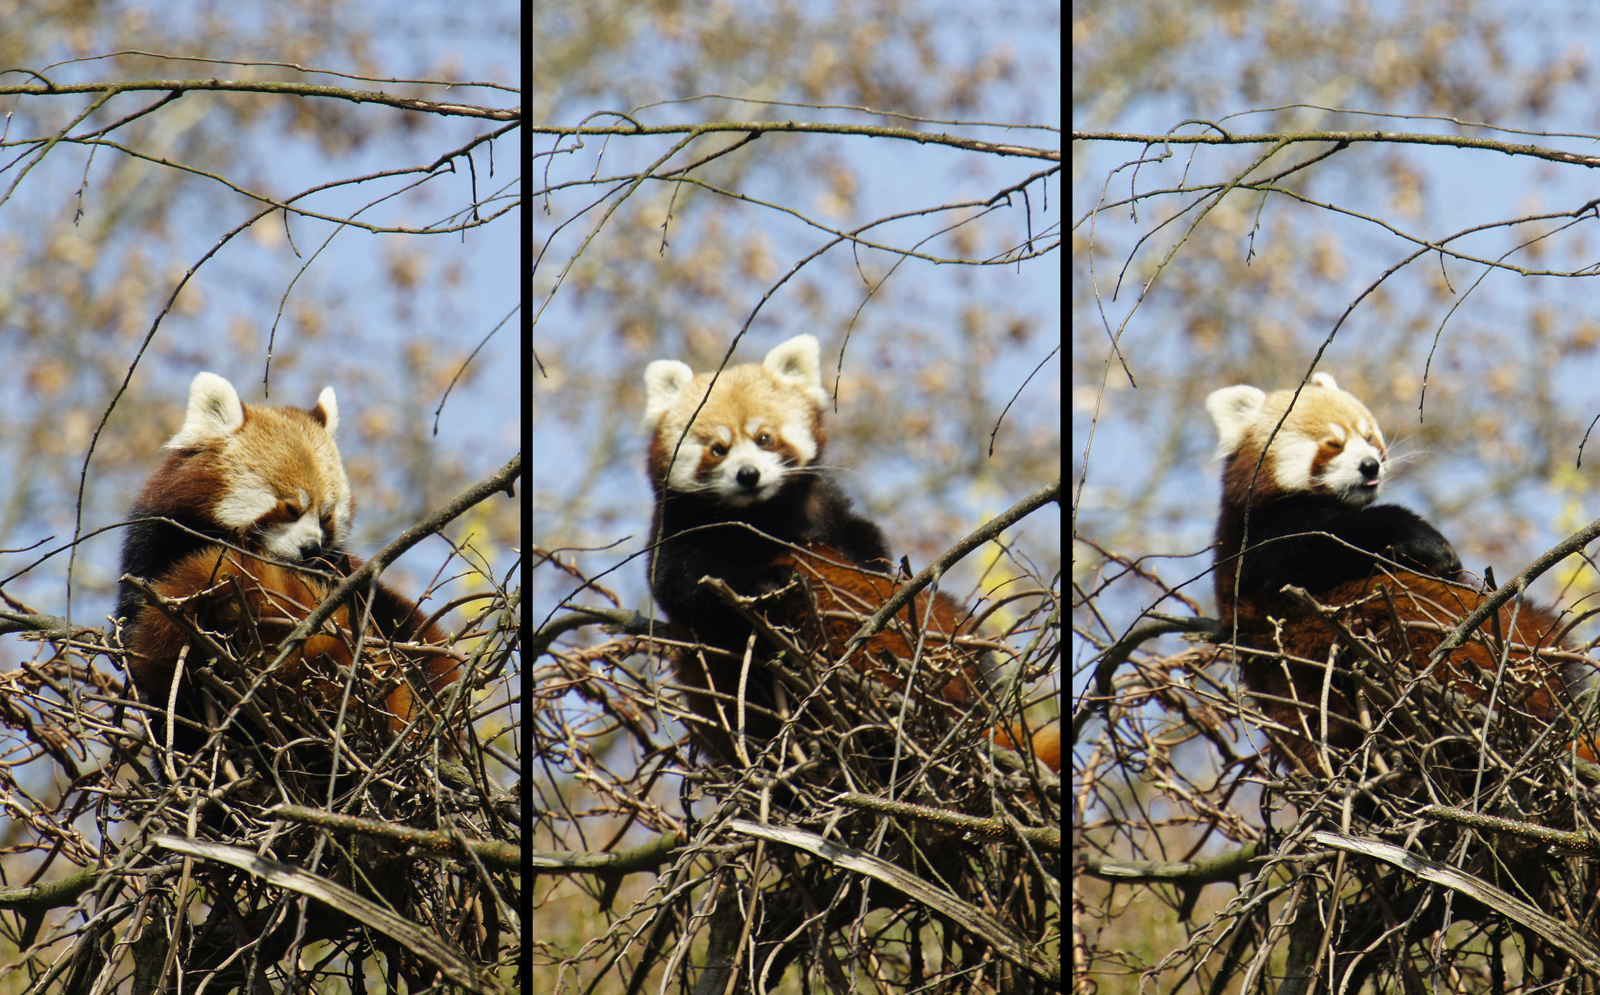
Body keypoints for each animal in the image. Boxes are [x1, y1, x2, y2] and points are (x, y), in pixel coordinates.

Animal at [1203, 372, 1580, 771]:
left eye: (1369, 437)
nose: (1370, 465)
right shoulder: (1263, 539)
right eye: (1333, 444)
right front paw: (1429, 544)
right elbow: (1329, 546)